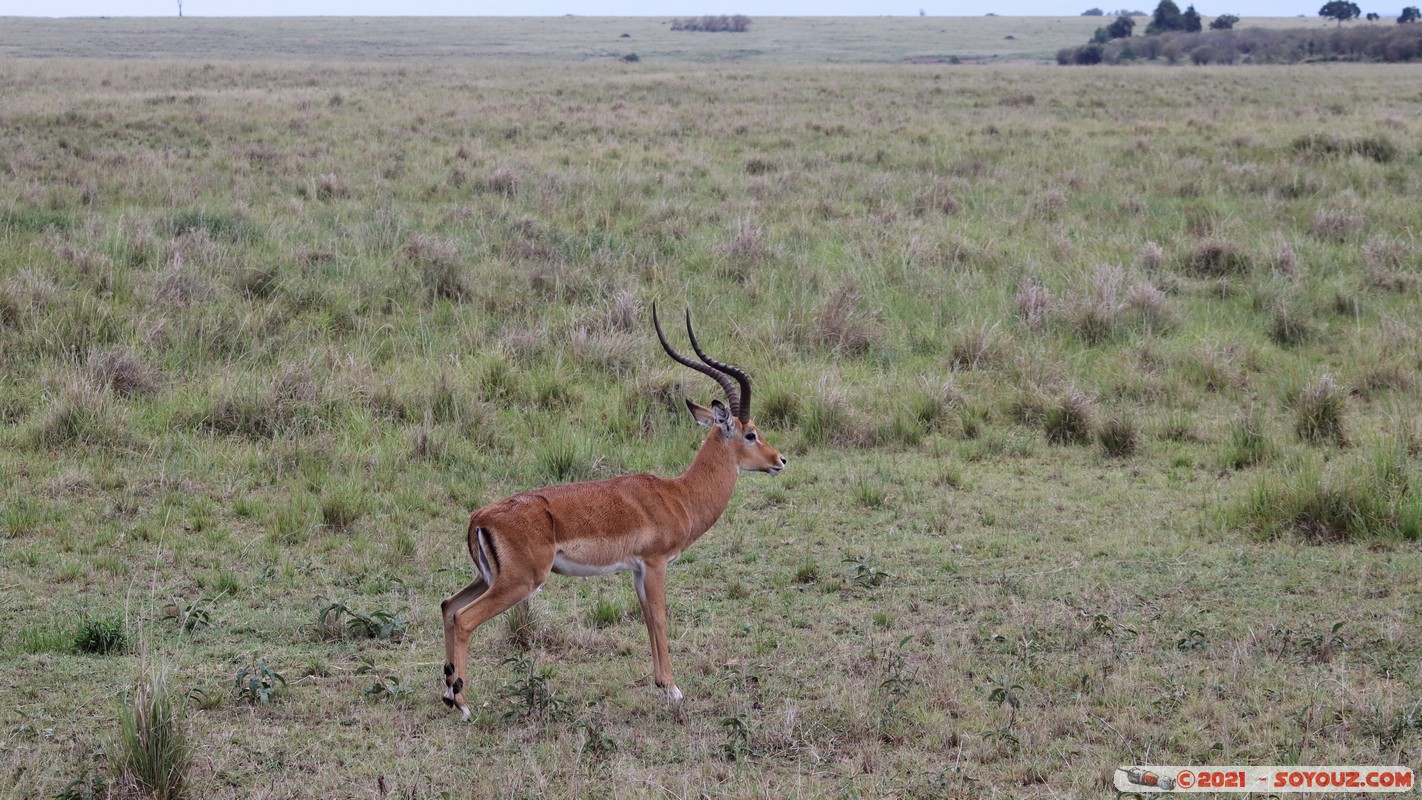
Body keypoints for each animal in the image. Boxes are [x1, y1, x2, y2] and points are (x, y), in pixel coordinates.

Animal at [439, 305, 787, 721]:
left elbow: (647, 619)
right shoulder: (655, 563)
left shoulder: (636, 570)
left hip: (486, 578)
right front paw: (674, 690)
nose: (780, 460)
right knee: (464, 618)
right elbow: (660, 617)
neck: (677, 495)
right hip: (519, 583)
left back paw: (448, 694)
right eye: (751, 433)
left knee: (447, 606)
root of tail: (480, 517)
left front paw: (661, 684)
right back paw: (464, 705)